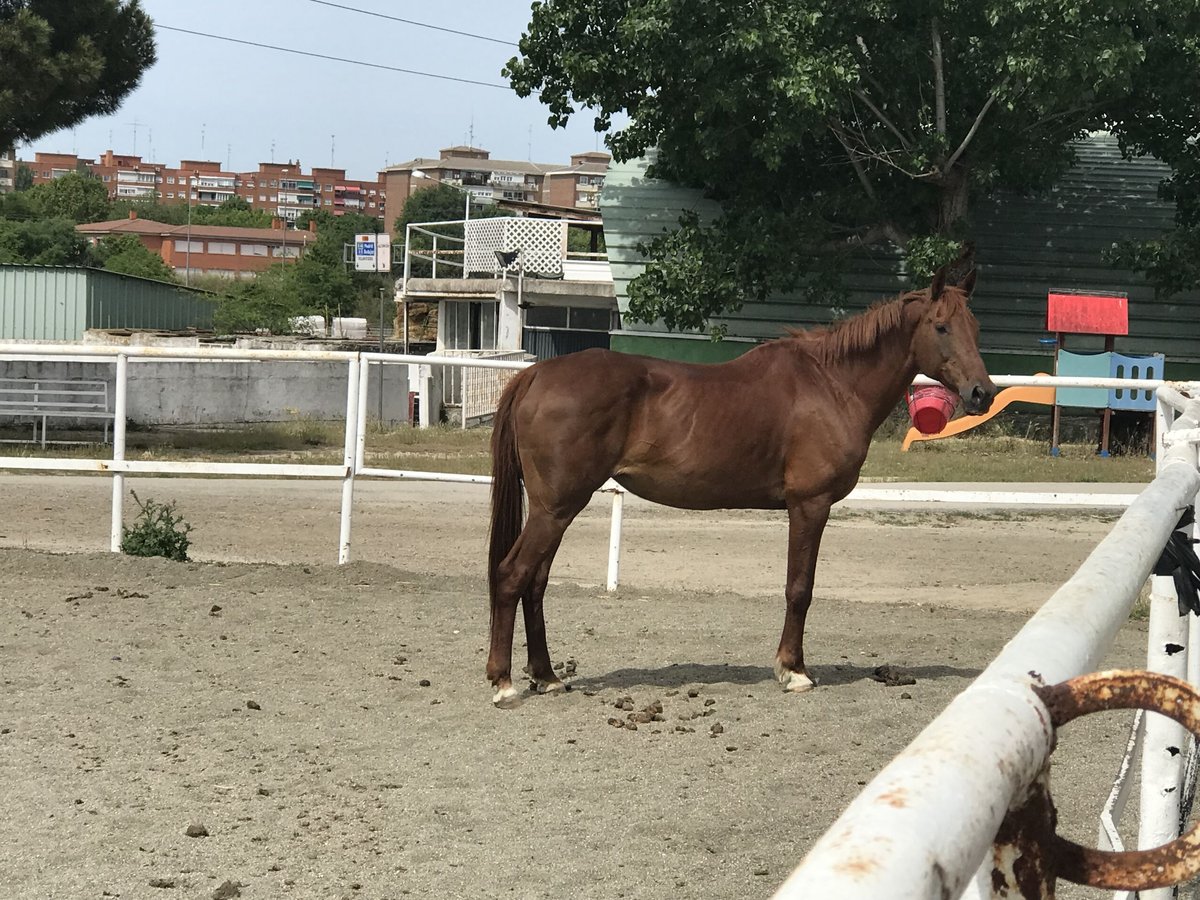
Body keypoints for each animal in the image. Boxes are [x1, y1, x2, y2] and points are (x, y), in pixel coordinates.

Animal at [484, 264, 993, 710]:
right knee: (512, 575)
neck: (832, 383)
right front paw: (794, 670)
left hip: (557, 509)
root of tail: (536, 374)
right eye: (941, 327)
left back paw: (547, 676)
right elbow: (799, 588)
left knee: (535, 583)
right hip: (555, 509)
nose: (981, 393)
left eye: (974, 326)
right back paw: (505, 683)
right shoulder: (810, 505)